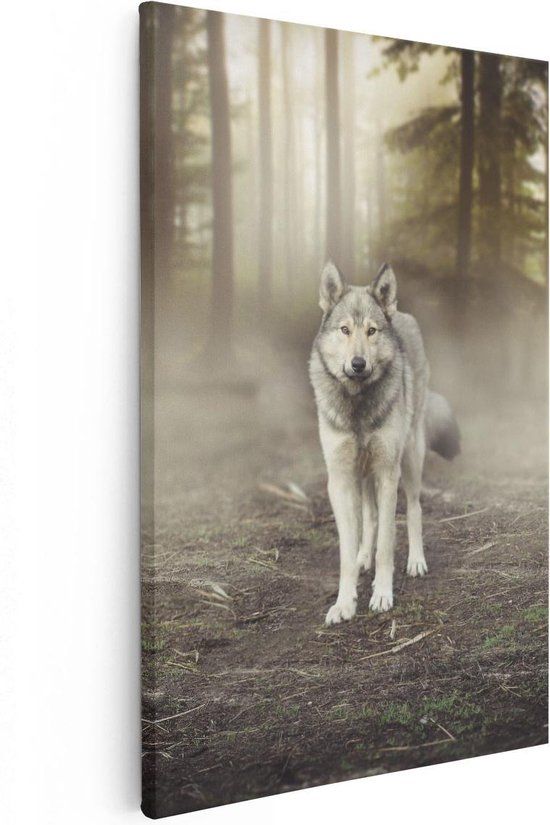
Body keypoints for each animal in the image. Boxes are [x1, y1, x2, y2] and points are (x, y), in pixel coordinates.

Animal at [309, 262, 460, 625]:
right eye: (345, 330)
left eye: (372, 331)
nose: (358, 363)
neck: (358, 404)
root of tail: (401, 313)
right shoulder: (340, 480)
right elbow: (347, 551)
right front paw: (344, 602)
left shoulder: (388, 474)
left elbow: (387, 545)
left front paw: (381, 594)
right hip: (364, 475)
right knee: (370, 518)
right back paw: (364, 556)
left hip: (410, 458)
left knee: (415, 508)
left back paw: (416, 561)